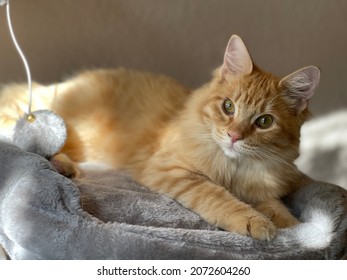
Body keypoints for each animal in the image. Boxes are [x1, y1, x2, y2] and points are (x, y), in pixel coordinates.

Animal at [0, 35, 320, 241]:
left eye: (264, 121)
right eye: (228, 107)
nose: (233, 136)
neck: (234, 168)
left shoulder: (262, 189)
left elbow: (278, 209)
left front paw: (301, 231)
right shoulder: (172, 169)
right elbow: (219, 196)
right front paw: (253, 221)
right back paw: (62, 165)